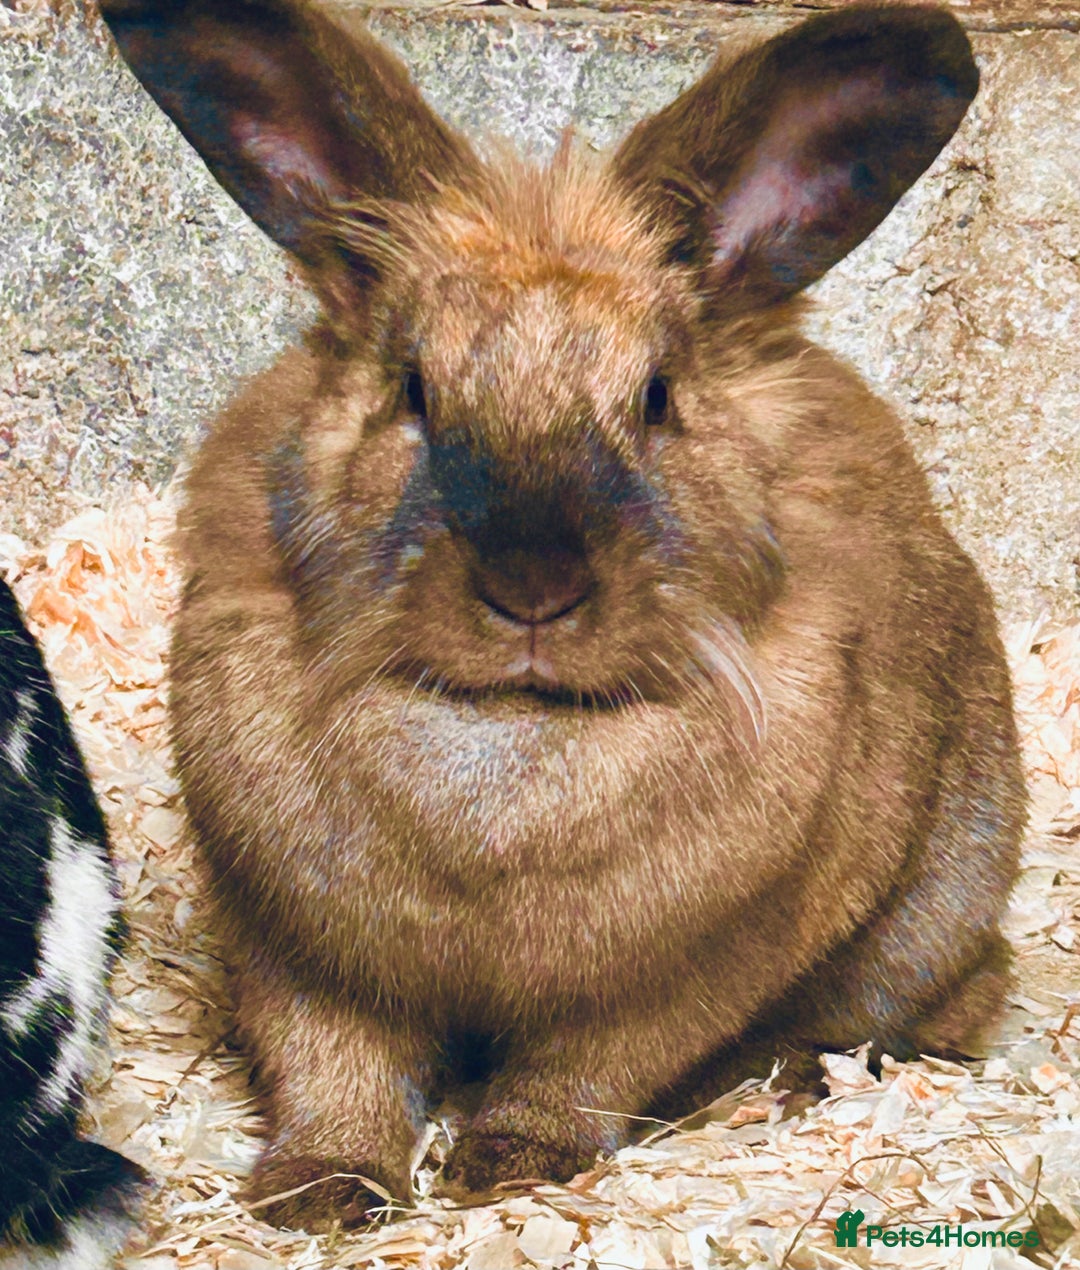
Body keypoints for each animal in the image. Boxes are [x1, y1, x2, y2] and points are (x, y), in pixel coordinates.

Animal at [99, 0, 1027, 1228]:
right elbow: (333, 1069)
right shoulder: (297, 950)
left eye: (658, 398)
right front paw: (321, 1193)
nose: (531, 583)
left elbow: (579, 1072)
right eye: (412, 389)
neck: (511, 732)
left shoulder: (671, 982)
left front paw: (508, 1165)